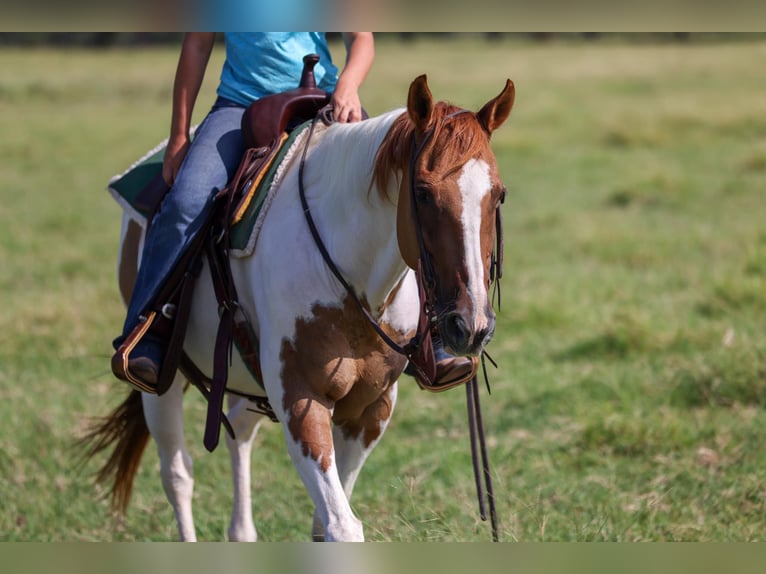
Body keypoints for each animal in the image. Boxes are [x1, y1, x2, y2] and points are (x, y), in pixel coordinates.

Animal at [82, 74, 515, 541]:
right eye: (421, 193)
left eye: (499, 195)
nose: (470, 325)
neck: (351, 279)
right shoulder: (300, 399)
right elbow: (342, 525)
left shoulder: (371, 408)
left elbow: (325, 523)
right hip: (165, 377)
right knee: (177, 473)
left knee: (237, 433)